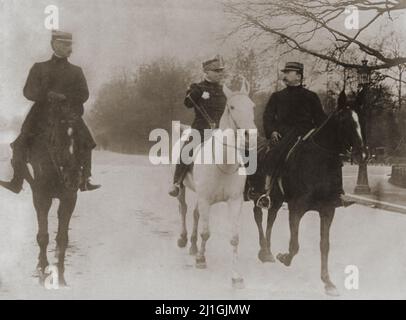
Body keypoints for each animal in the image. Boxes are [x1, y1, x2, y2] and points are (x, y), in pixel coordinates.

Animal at [175, 79, 256, 288]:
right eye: (232, 107)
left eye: (252, 106)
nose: (250, 136)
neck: (223, 163)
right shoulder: (205, 199)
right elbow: (206, 232)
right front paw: (201, 260)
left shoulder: (234, 201)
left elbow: (234, 238)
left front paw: (236, 276)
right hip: (183, 190)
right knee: (184, 209)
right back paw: (183, 239)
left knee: (195, 214)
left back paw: (193, 245)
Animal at [254, 90, 364, 296]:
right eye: (344, 120)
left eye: (360, 119)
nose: (362, 154)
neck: (320, 160)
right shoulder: (296, 208)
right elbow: (294, 244)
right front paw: (285, 257)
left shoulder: (328, 210)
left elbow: (324, 245)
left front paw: (328, 282)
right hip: (259, 195)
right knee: (258, 216)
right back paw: (264, 251)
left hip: (277, 200)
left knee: (271, 218)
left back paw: (268, 251)